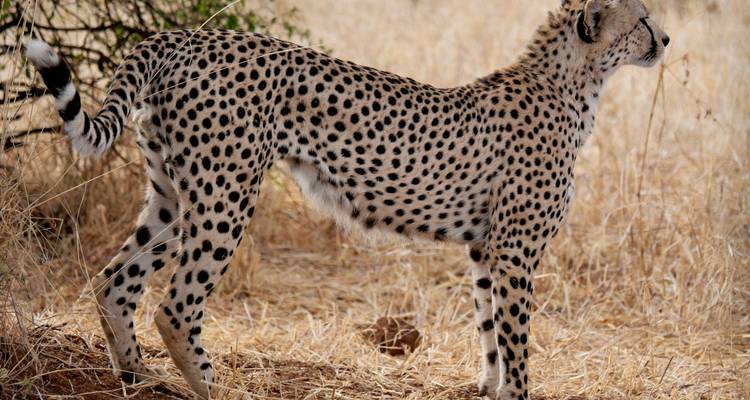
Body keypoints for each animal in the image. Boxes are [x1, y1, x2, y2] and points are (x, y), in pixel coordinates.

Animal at [24, 0, 669, 398]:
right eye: (641, 17)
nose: (665, 39)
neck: (574, 83)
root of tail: (183, 36)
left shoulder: (486, 250)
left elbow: (489, 333)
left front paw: (488, 390)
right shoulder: (515, 251)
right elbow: (517, 342)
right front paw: (517, 391)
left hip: (172, 193)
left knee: (114, 278)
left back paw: (137, 377)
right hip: (225, 196)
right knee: (175, 306)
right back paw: (216, 388)